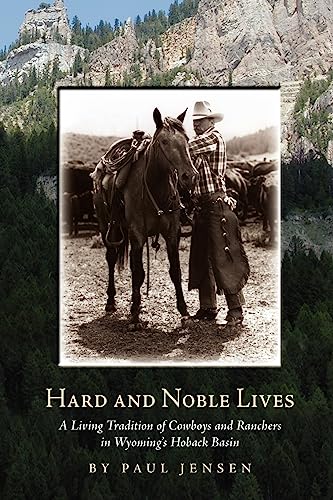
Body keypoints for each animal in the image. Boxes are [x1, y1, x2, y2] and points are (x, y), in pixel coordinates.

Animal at [92, 107, 197, 330]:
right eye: (164, 141)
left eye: (186, 139)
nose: (189, 176)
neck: (154, 188)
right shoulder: (137, 233)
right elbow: (138, 273)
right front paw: (134, 315)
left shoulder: (172, 233)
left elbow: (175, 271)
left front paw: (184, 311)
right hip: (107, 227)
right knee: (111, 258)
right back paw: (111, 302)